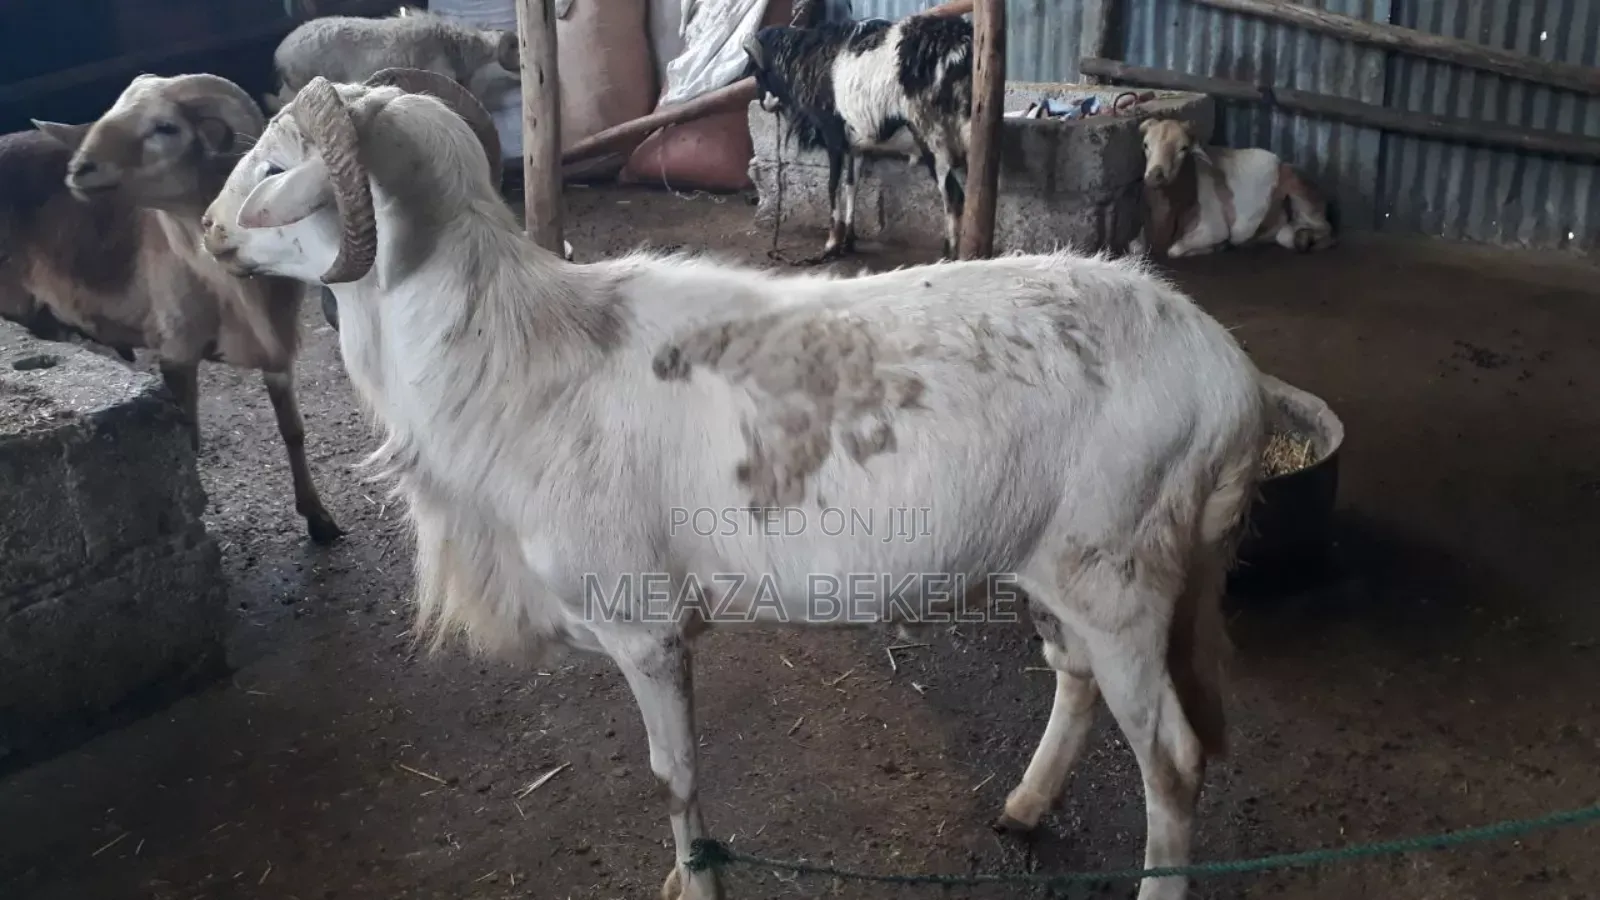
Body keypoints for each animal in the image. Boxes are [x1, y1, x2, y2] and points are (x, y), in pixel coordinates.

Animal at [0, 72, 350, 543]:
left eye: (165, 127)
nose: (78, 169)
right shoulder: (177, 353)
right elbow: (190, 442)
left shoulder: (278, 352)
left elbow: (293, 431)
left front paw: (318, 518)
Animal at [199, 71, 1268, 900]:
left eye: (277, 163)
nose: (209, 229)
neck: (507, 353)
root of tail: (1231, 372)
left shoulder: (644, 625)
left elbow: (674, 782)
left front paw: (695, 878)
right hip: (1057, 567)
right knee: (1076, 682)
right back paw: (1025, 806)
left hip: (1123, 574)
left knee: (1173, 763)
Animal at [743, 15, 974, 260]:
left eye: (757, 71)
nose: (764, 104)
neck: (807, 61)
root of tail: (959, 49)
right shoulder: (855, 145)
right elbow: (851, 184)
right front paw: (848, 240)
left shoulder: (833, 135)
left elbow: (833, 185)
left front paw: (831, 244)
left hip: (934, 138)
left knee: (953, 196)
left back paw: (949, 256)